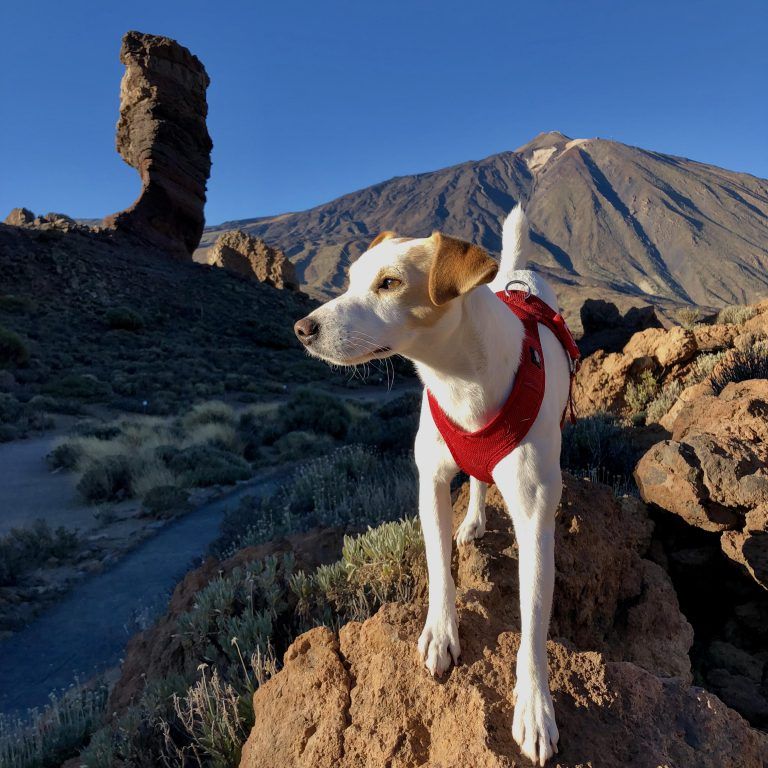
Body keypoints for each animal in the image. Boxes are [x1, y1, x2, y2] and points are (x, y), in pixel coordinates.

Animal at [292, 207, 576, 764]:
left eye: (389, 283)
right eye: (350, 279)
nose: (303, 328)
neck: (458, 379)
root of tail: (517, 273)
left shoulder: (534, 517)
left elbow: (533, 620)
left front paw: (535, 707)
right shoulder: (432, 484)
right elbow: (439, 568)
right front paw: (441, 632)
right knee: (480, 484)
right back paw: (473, 521)